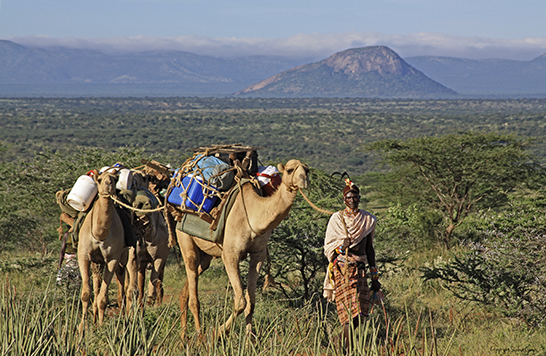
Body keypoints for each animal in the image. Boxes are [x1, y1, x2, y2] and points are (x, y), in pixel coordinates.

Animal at [75, 171, 137, 336]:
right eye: (100, 179)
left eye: (115, 179)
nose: (109, 185)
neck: (100, 234)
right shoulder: (84, 255)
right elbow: (86, 294)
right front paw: (82, 327)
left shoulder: (112, 258)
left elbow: (104, 297)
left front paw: (102, 327)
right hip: (97, 262)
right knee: (98, 284)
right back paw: (95, 318)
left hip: (126, 255)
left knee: (126, 285)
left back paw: (125, 319)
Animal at [176, 160, 308, 338]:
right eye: (289, 170)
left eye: (307, 170)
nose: (304, 180)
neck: (253, 217)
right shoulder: (230, 254)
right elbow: (240, 301)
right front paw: (218, 333)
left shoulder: (258, 254)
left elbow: (251, 301)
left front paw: (249, 340)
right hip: (184, 237)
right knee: (193, 291)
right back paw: (200, 337)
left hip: (206, 255)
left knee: (190, 284)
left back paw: (184, 336)